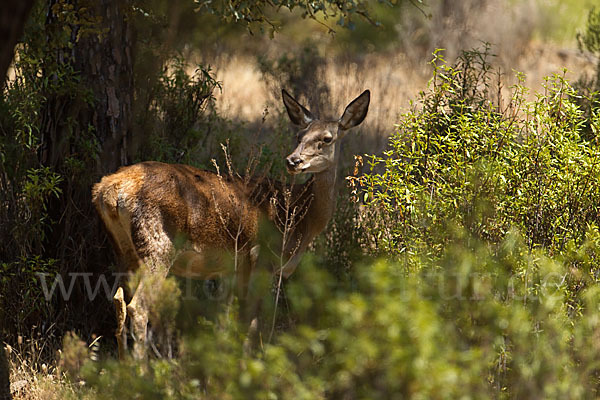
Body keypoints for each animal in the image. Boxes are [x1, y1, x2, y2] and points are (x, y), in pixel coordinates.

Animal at [92, 88, 370, 360]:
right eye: (300, 135)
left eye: (327, 138)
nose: (293, 161)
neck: (302, 217)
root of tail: (109, 190)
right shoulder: (263, 258)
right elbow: (253, 320)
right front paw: (246, 361)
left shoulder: (233, 268)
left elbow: (226, 319)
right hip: (158, 246)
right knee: (138, 307)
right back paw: (141, 368)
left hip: (123, 249)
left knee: (118, 299)